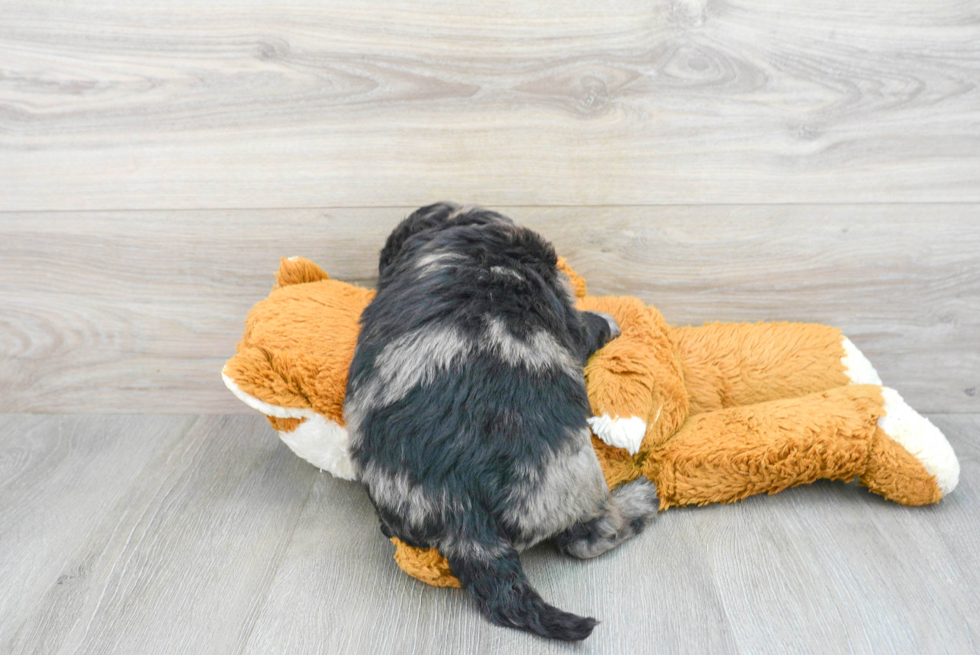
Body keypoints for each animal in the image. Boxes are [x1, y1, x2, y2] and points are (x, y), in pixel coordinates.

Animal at [344, 202, 660, 644]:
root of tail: (460, 508)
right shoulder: (569, 317)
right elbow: (587, 324)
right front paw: (609, 322)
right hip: (574, 476)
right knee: (588, 537)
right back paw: (640, 499)